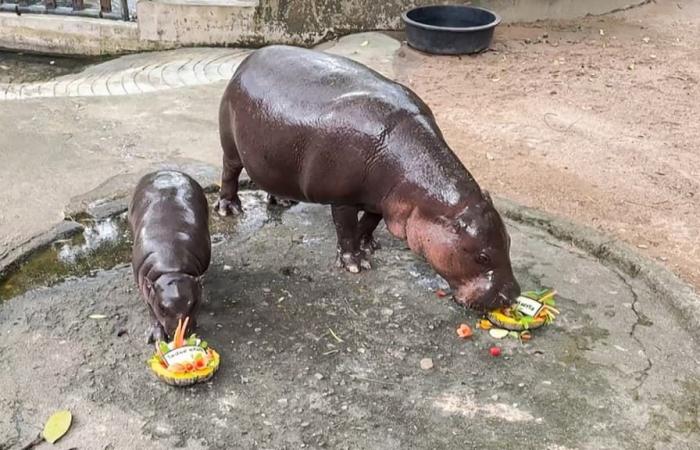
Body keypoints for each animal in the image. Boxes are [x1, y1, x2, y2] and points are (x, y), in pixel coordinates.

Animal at [129, 171, 211, 342]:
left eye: (193, 303)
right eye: (162, 308)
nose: (178, 334)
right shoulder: (147, 287)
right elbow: (151, 310)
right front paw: (156, 337)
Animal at [216, 47, 516, 312]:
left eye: (509, 241)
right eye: (482, 256)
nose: (512, 296)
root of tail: (248, 59)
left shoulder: (383, 200)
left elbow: (369, 222)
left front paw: (368, 246)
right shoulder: (342, 198)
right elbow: (346, 228)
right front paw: (355, 264)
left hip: (271, 157)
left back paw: (281, 200)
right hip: (230, 146)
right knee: (229, 173)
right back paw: (229, 209)